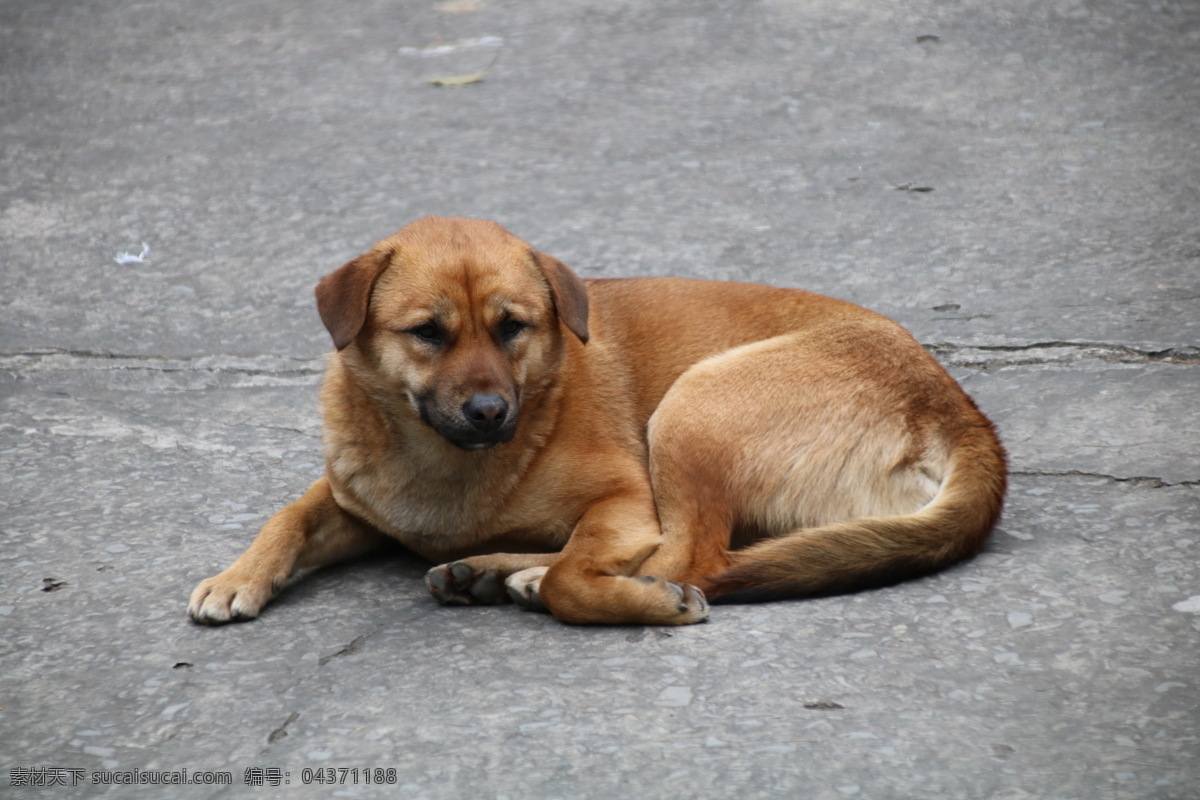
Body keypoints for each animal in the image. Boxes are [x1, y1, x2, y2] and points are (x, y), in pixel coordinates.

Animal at [187, 217, 1008, 623]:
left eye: (512, 327)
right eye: (428, 333)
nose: (489, 411)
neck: (447, 465)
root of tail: (958, 405)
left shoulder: (625, 498)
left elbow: (581, 573)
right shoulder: (351, 502)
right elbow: (288, 517)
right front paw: (239, 576)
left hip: (691, 410)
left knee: (690, 557)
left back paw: (529, 578)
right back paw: (494, 570)